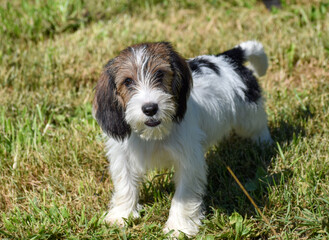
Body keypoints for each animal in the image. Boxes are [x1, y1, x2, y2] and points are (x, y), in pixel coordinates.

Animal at [92, 41, 272, 236]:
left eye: (160, 73)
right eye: (127, 81)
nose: (150, 108)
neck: (155, 134)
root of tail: (227, 58)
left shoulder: (188, 160)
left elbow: (183, 195)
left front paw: (178, 227)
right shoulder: (123, 155)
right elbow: (125, 184)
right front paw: (121, 215)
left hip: (248, 115)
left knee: (258, 126)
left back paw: (264, 144)